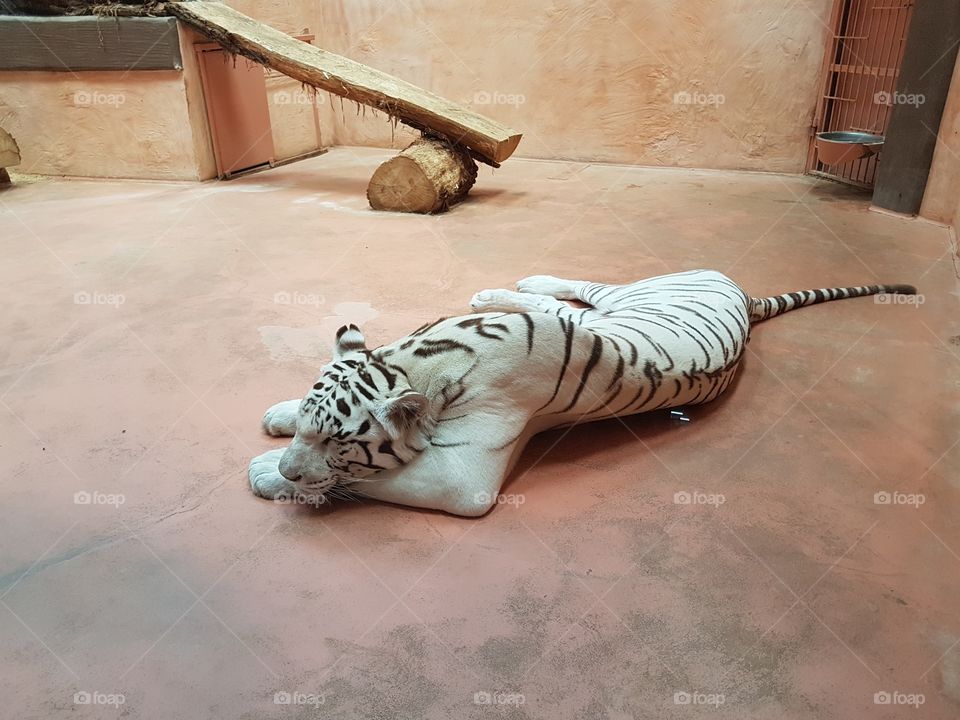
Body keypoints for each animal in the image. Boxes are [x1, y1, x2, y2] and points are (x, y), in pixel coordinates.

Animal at [248, 270, 916, 516]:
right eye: (311, 427)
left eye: (338, 444)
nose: (287, 466)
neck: (414, 362)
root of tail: (743, 293)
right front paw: (278, 416)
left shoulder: (463, 478)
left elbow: (363, 481)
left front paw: (267, 473)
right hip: (611, 307)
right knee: (568, 300)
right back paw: (501, 289)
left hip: (621, 298)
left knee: (576, 294)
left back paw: (505, 288)